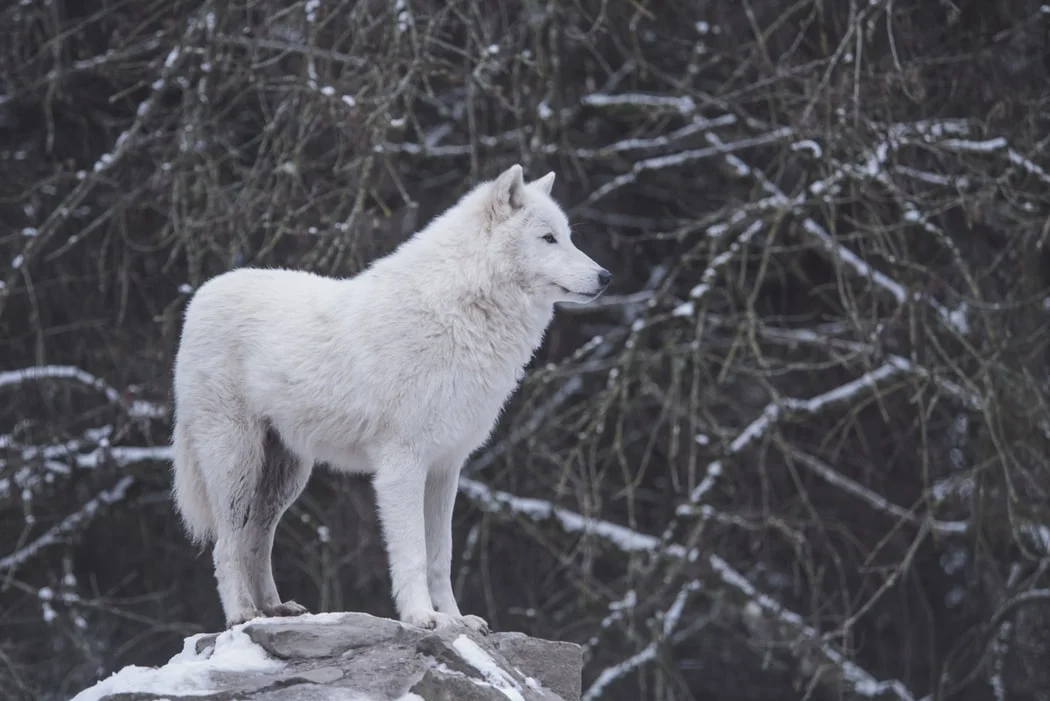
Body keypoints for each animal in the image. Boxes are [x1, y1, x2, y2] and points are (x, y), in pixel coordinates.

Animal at [170, 164, 611, 632]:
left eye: (569, 236)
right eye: (548, 238)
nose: (606, 277)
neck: (459, 313)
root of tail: (201, 295)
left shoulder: (446, 468)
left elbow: (441, 556)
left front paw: (457, 619)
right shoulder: (402, 465)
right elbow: (413, 553)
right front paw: (422, 617)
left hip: (286, 476)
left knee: (258, 540)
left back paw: (275, 609)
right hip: (236, 464)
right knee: (227, 544)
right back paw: (242, 614)